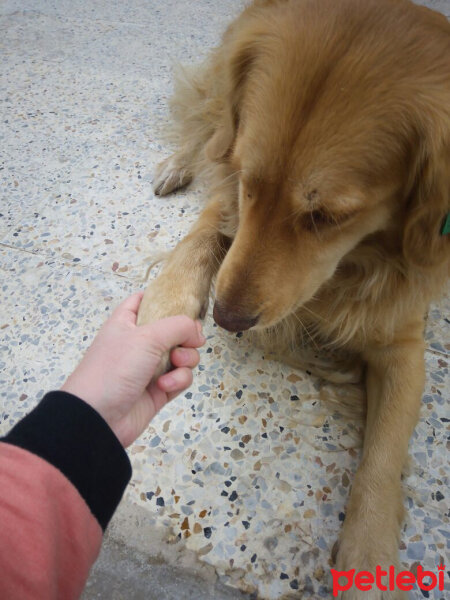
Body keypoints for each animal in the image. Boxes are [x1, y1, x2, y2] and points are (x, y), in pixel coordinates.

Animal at [139, 1, 448, 596]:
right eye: (251, 180)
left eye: (327, 216)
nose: (227, 318)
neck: (358, 261)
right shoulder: (231, 183)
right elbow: (208, 224)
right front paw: (165, 302)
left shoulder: (403, 341)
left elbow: (383, 455)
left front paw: (368, 557)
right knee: (207, 122)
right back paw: (177, 163)